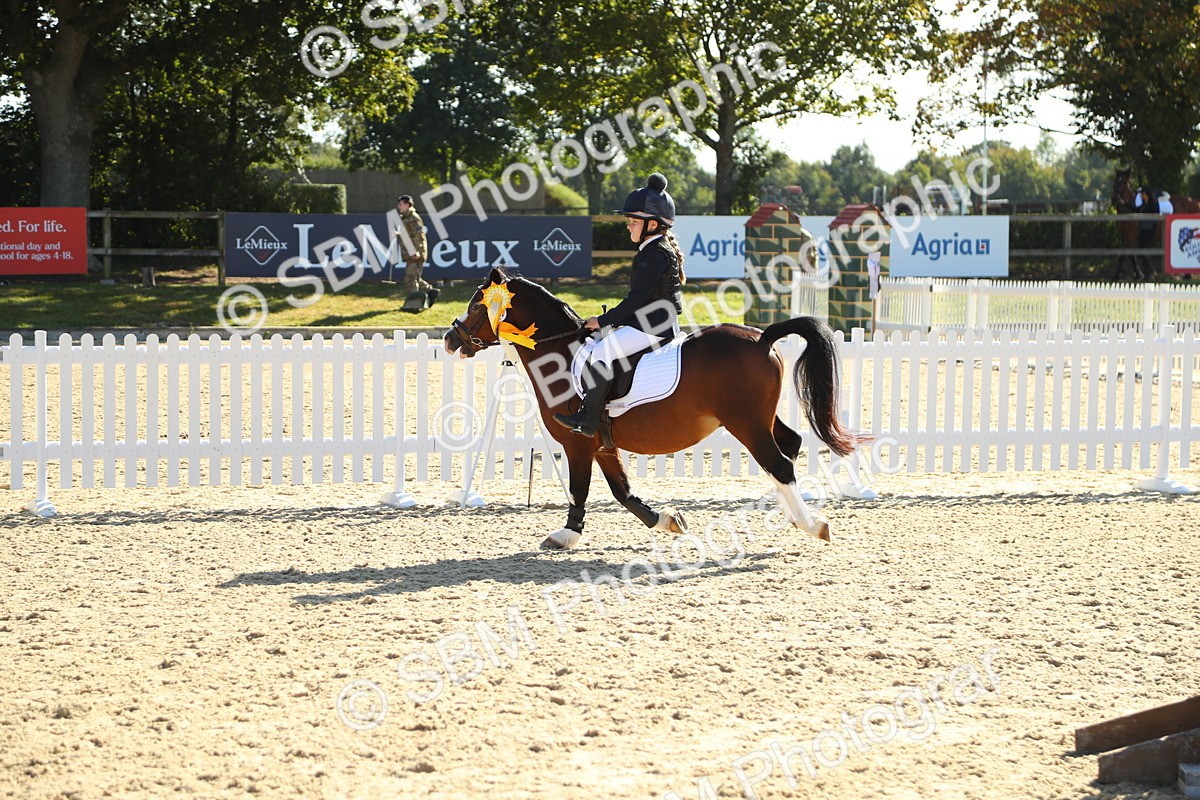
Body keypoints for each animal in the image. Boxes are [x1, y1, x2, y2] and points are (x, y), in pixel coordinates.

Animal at [443, 265, 864, 550]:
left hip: (746, 423)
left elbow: (579, 489)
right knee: (789, 446)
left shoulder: (578, 442)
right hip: (760, 419)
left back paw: (813, 525)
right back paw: (793, 516)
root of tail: (761, 338)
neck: (562, 353)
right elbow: (622, 492)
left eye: (477, 305)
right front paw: (667, 521)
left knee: (778, 463)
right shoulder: (603, 445)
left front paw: (566, 535)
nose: (449, 339)